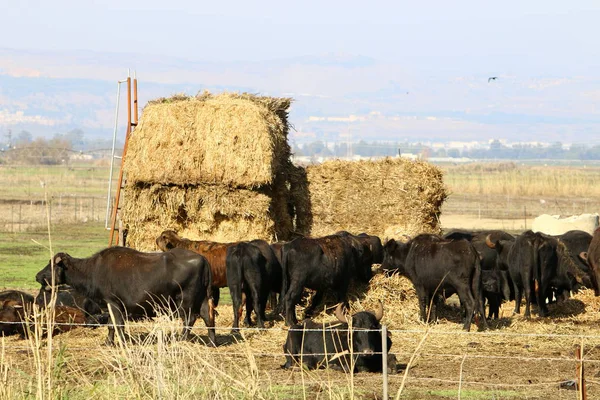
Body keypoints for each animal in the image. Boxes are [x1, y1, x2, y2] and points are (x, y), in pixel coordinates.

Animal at [35, 247, 216, 344]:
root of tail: (202, 258)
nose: (37, 276)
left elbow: (117, 324)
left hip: (186, 300)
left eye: (51, 265)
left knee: (189, 319)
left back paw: (181, 339)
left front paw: (120, 342)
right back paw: (212, 342)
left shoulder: (113, 303)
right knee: (208, 317)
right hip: (202, 299)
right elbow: (112, 325)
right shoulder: (111, 306)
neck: (94, 269)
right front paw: (109, 342)